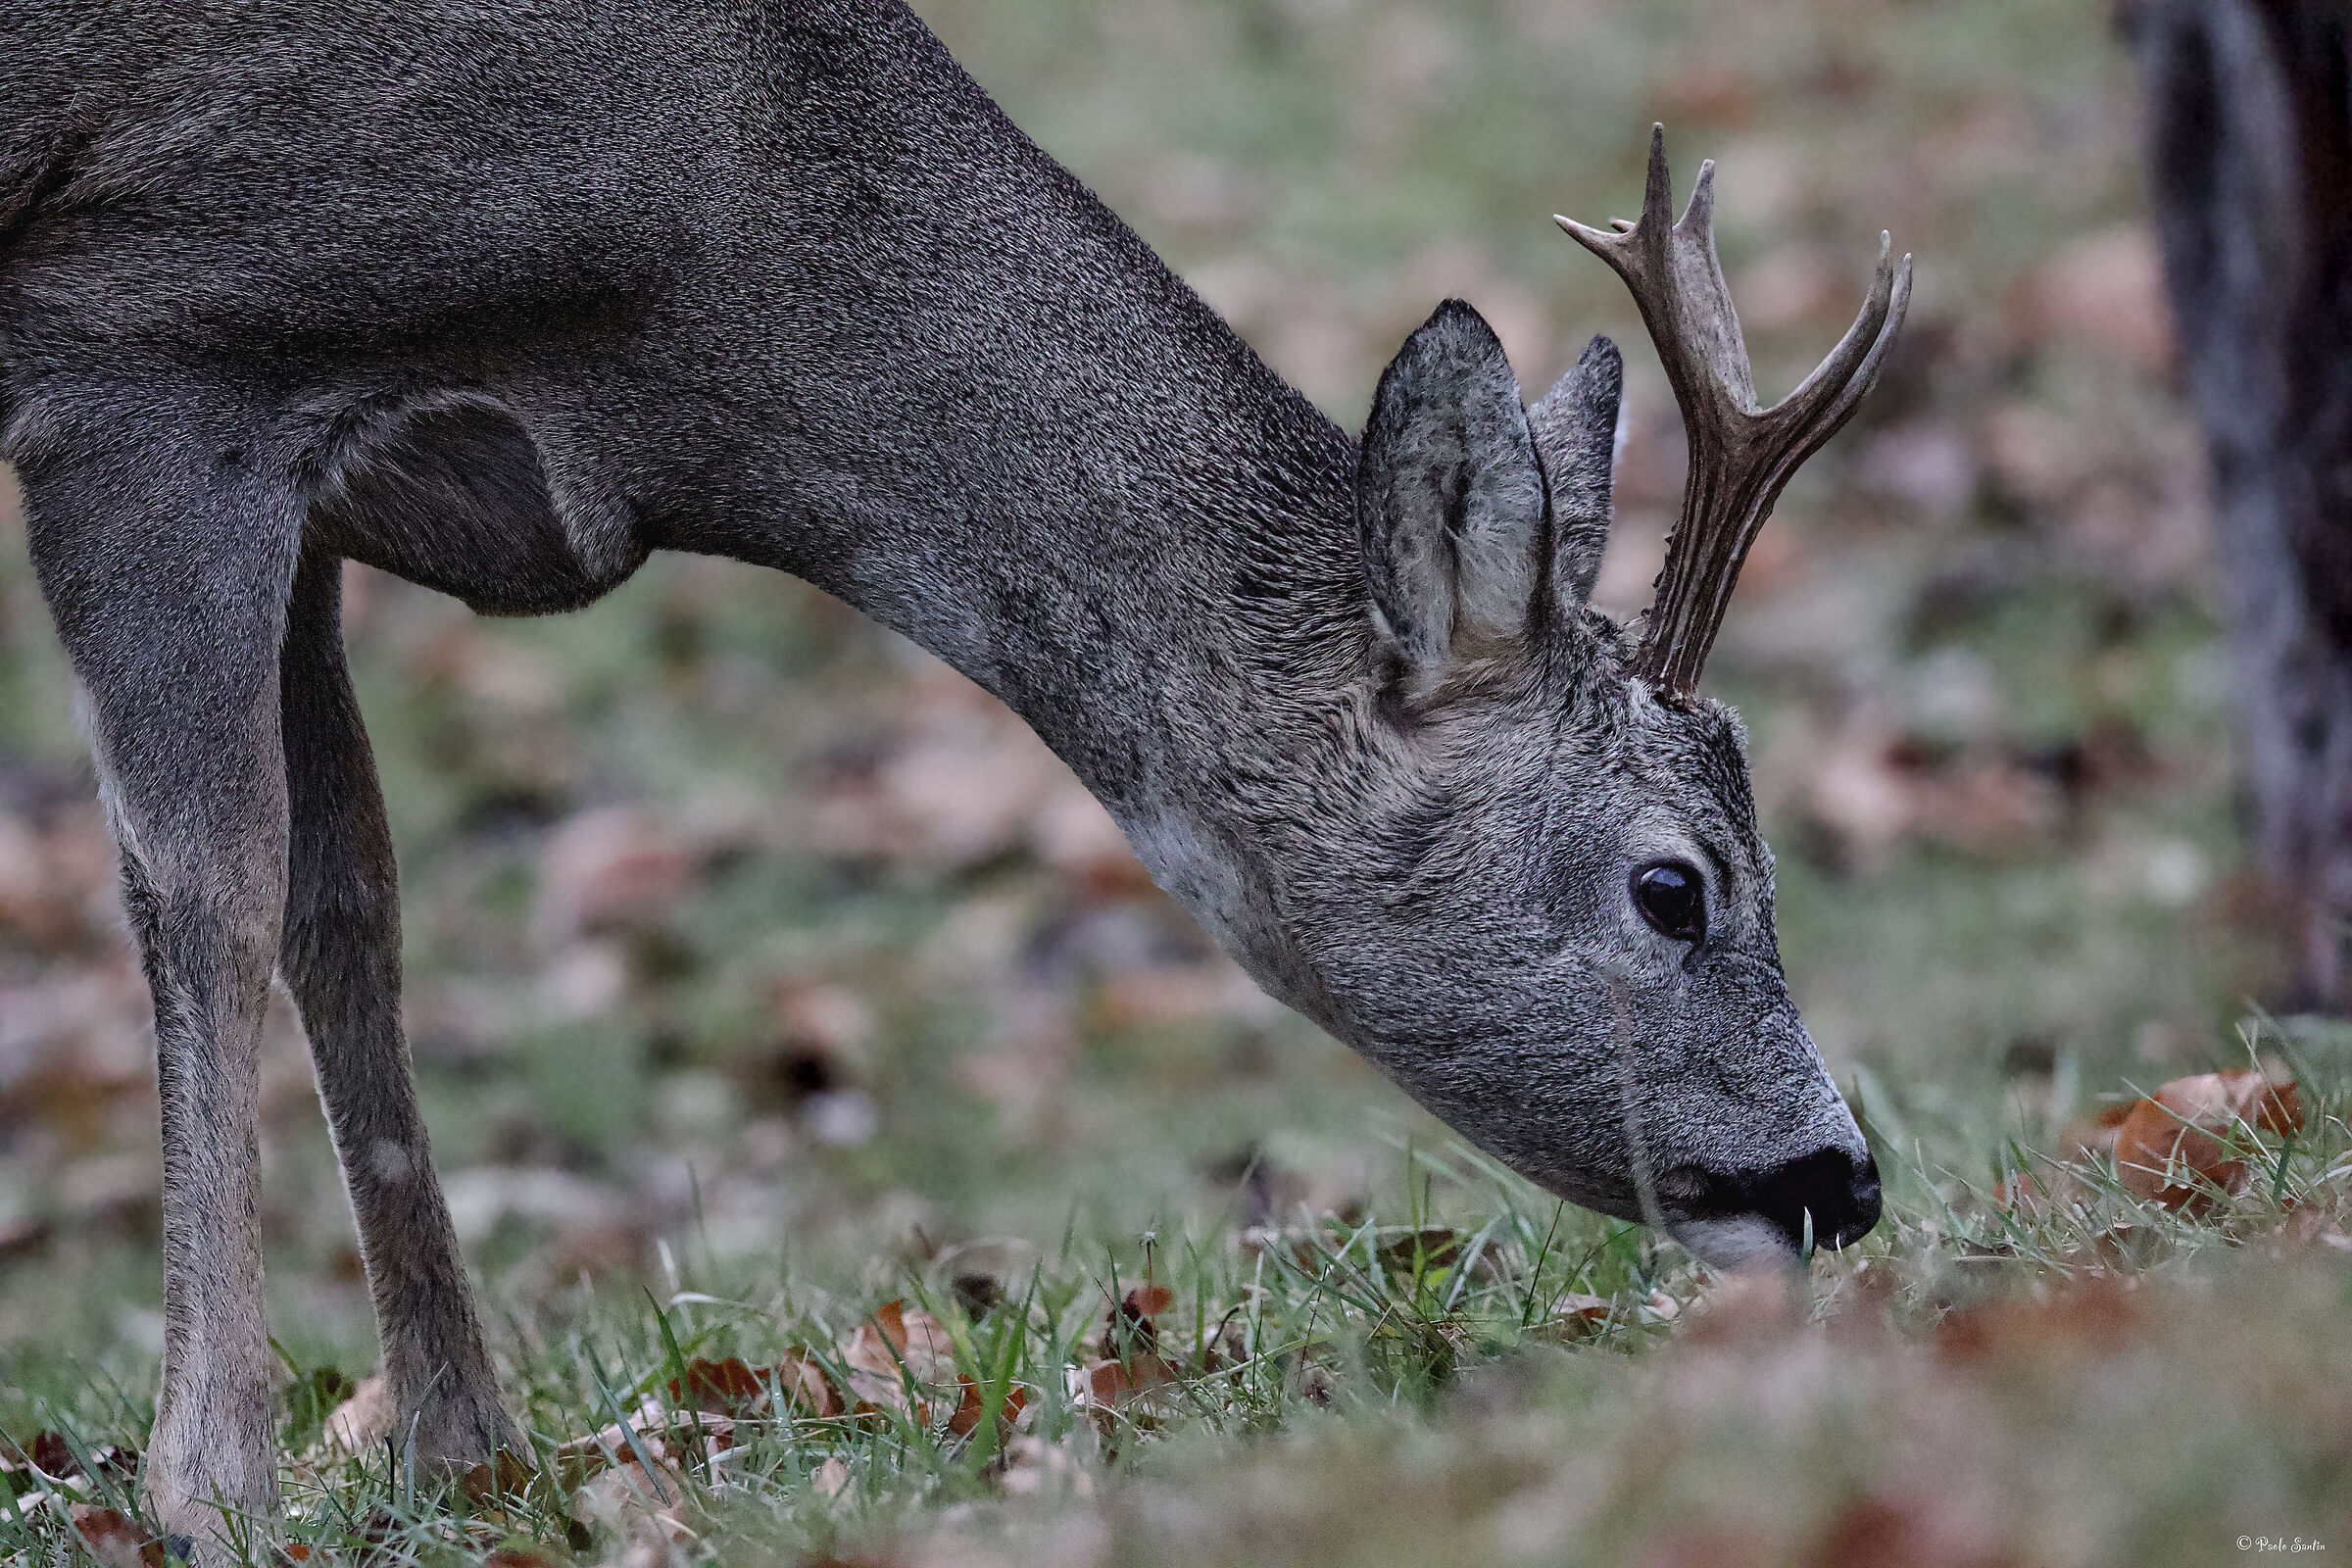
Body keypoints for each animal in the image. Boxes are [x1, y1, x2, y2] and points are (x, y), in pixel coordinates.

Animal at [0, 0, 1909, 1555]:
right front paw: (215, 1488)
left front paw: (464, 1455)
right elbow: (208, 881)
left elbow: (349, 905)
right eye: (1674, 885)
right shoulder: (149, 349)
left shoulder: (322, 483)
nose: (1846, 1182)